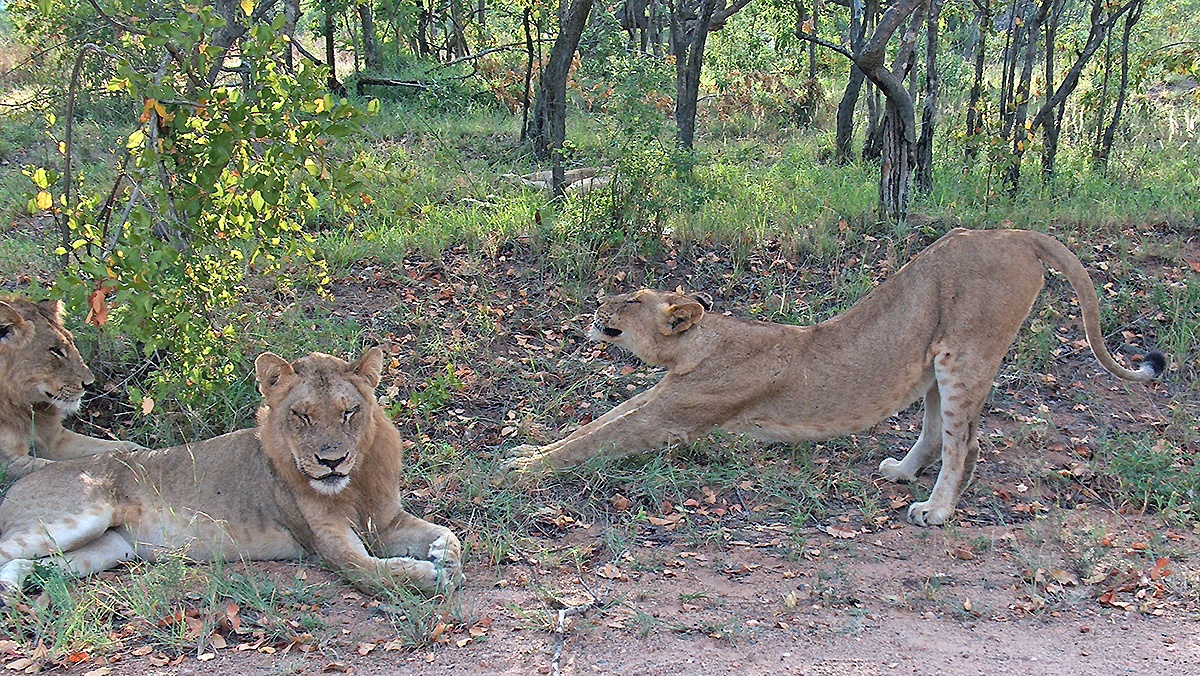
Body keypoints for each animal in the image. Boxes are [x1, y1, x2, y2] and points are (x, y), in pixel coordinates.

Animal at [0, 296, 140, 479]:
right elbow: (61, 466)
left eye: (72, 343)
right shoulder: (8, 463)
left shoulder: (55, 439)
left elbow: (118, 446)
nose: (89, 383)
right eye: (55, 350)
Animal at [0, 348, 462, 599]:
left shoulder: (384, 521)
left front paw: (444, 554)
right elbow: (377, 571)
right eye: (302, 416)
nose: (331, 461)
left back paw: (16, 589)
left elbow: (451, 534)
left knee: (31, 567)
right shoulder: (328, 544)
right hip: (75, 519)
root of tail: (21, 481)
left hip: (109, 548)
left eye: (350, 412)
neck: (356, 481)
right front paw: (429, 574)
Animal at [505, 228, 1166, 526]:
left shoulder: (674, 415)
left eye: (630, 300)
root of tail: (1015, 233)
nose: (597, 303)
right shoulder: (662, 397)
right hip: (931, 357)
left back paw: (934, 511)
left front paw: (519, 474)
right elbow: (596, 423)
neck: (699, 345)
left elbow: (597, 438)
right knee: (935, 431)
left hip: (966, 354)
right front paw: (524, 451)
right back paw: (900, 472)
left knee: (966, 444)